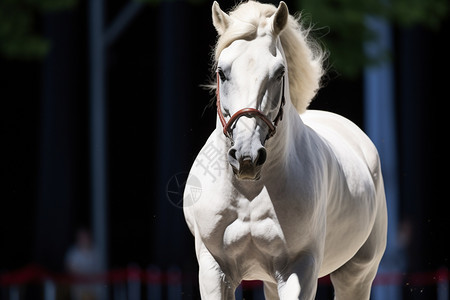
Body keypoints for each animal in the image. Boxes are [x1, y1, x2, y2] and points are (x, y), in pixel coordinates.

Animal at [183, 1, 386, 298]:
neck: (250, 194)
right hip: (270, 281)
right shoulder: (214, 269)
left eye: (279, 73)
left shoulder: (299, 268)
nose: (247, 157)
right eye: (222, 72)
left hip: (358, 274)